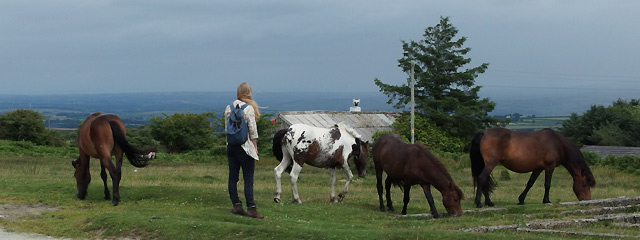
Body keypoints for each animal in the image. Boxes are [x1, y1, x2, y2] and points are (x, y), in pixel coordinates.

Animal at [468, 127, 596, 208]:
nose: (588, 199)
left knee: (484, 181)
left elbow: (530, 183)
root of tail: (484, 133)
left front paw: (521, 200)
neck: (557, 144)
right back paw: (479, 203)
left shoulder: (538, 168)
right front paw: (546, 200)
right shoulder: (550, 167)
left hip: (486, 164)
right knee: (482, 178)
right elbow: (547, 184)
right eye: (584, 184)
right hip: (491, 164)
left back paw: (489, 203)